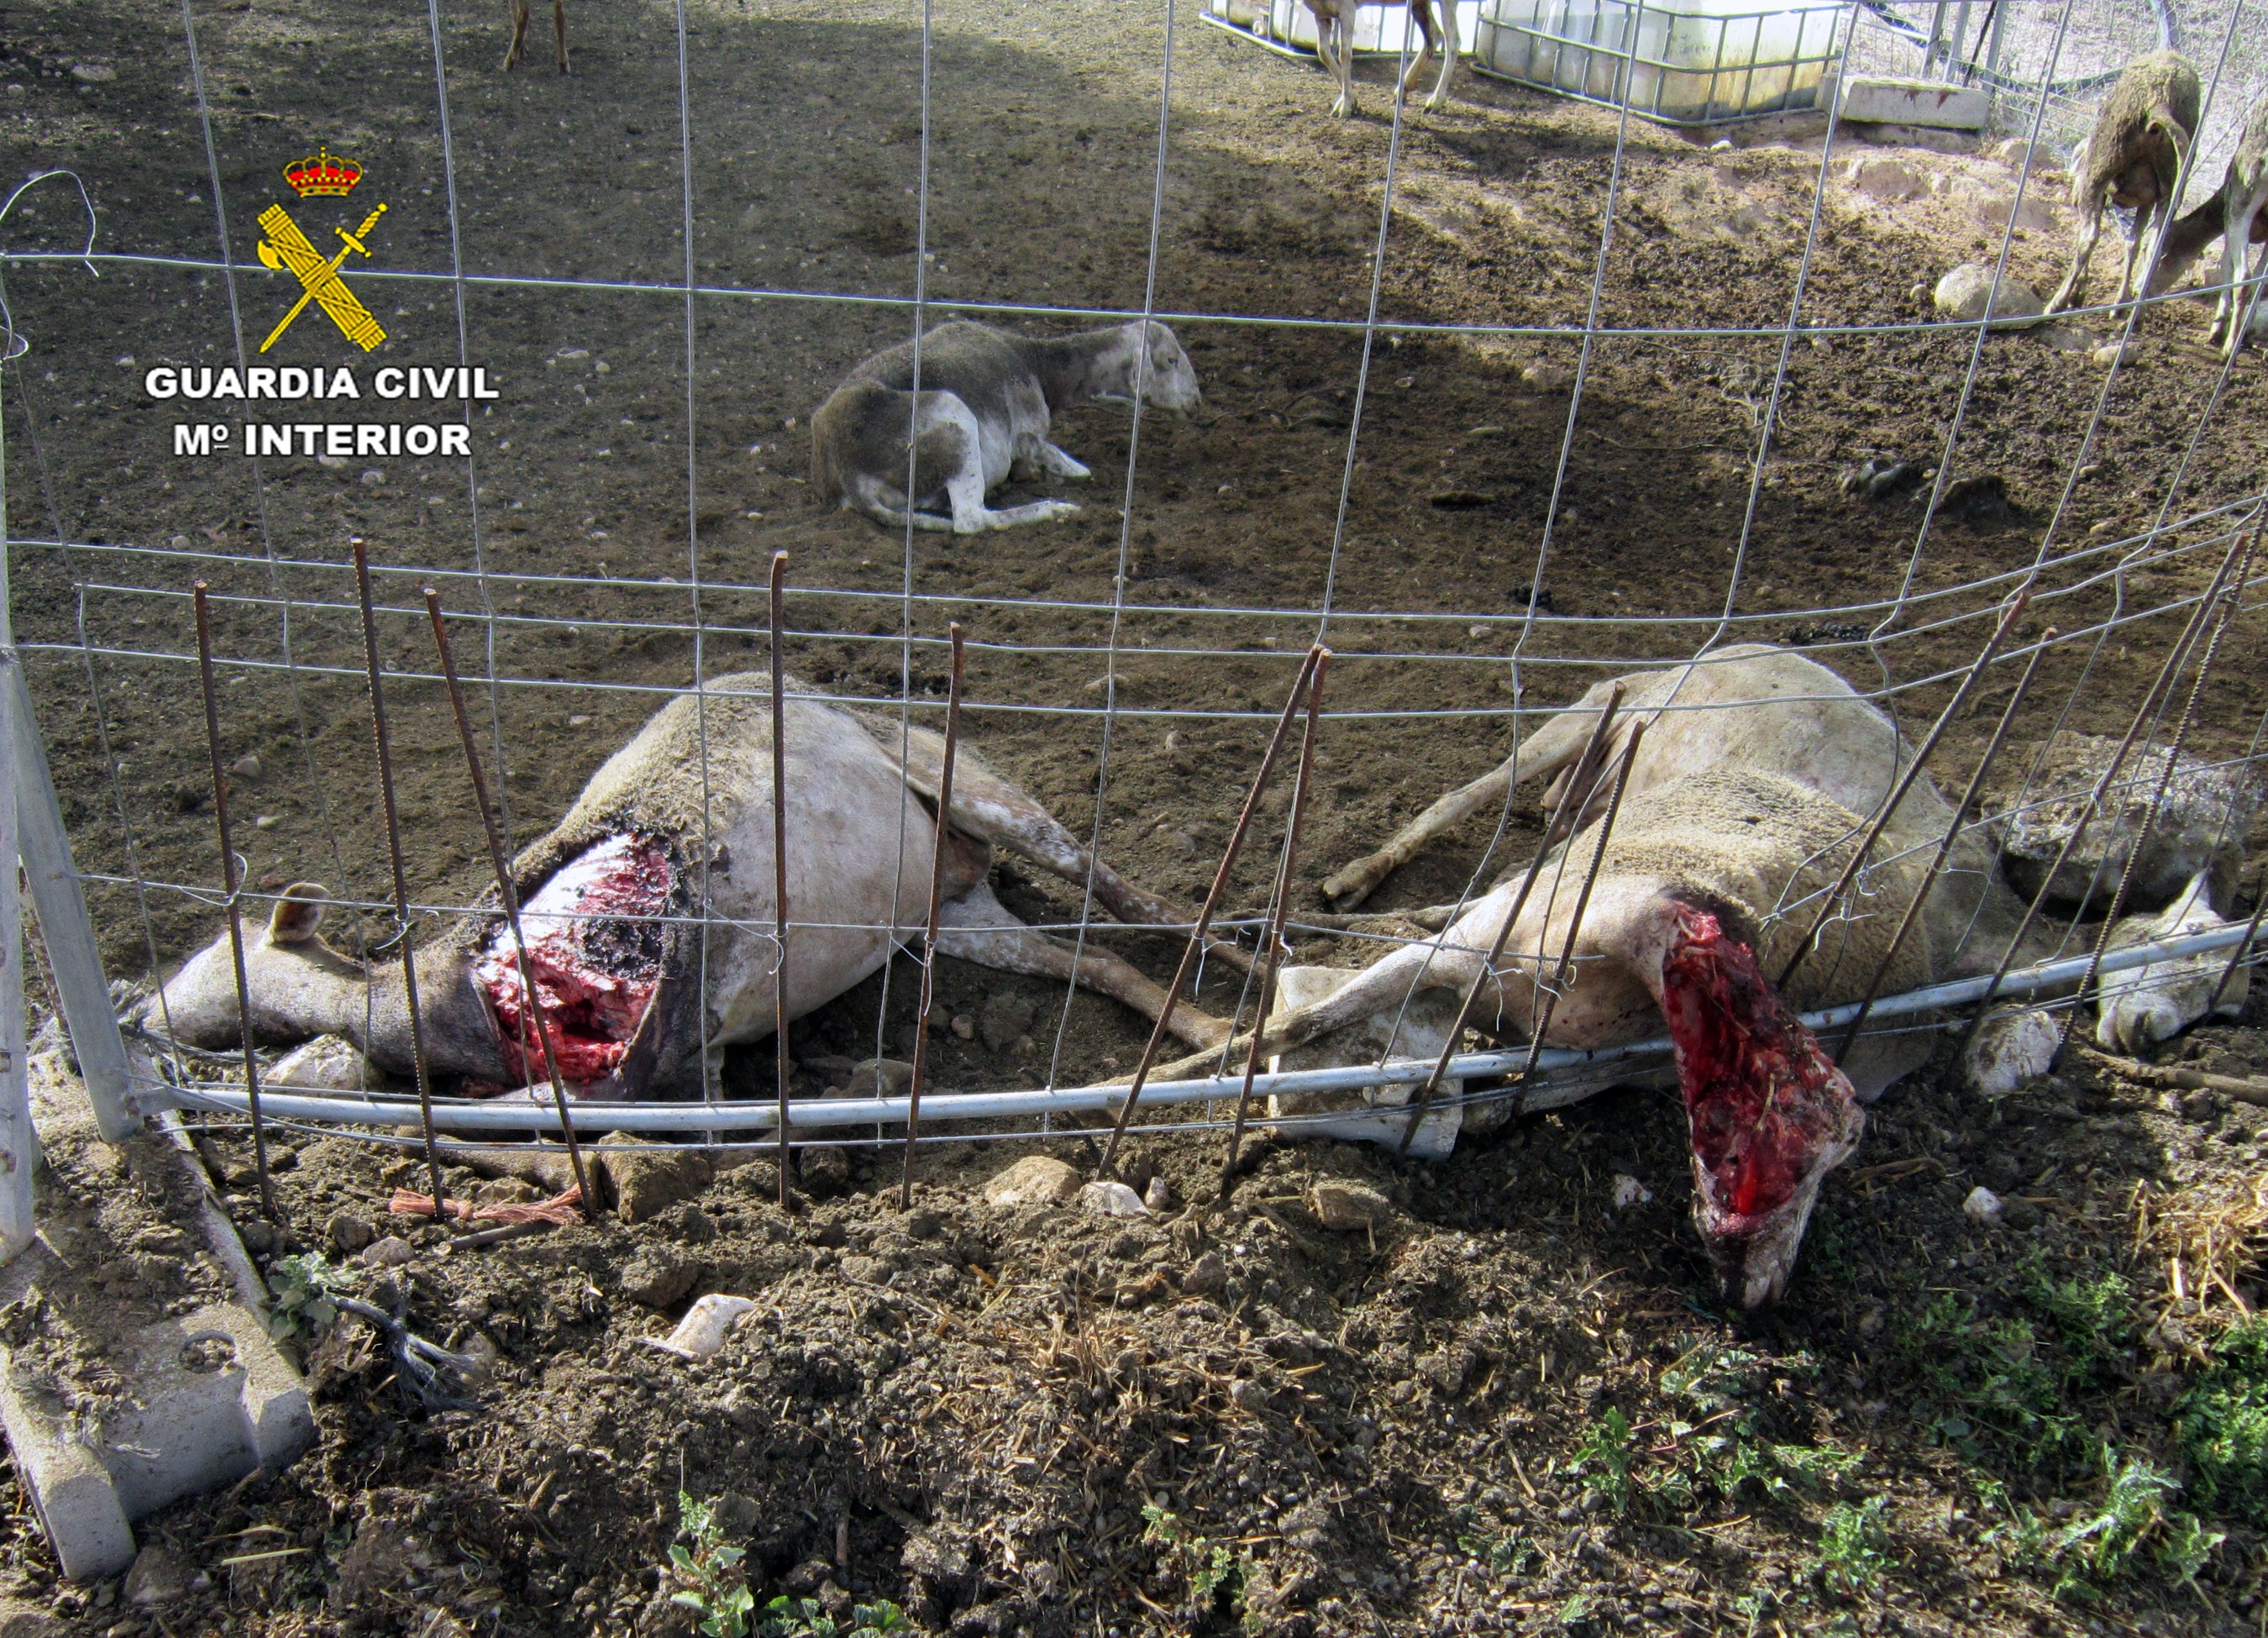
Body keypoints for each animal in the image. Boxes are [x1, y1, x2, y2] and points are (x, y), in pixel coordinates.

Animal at [144, 677, 1240, 1103]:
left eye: (206, 957)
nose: (136, 1008)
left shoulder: (665, 1062)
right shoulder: (690, 1058)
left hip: (969, 778)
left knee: (1122, 888)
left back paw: (1252, 963)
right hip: (947, 915)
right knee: (1091, 960)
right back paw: (1215, 1031)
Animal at [810, 320, 1199, 534]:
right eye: (1171, 360)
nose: (1196, 402)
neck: (1038, 366)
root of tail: (847, 471)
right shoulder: (1026, 433)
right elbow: (1049, 453)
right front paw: (1072, 474)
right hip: (953, 420)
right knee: (969, 519)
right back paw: (1053, 509)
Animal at [1302, 0, 1458, 120]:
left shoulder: (1347, 9)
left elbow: (1344, 54)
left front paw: (1344, 107)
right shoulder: (1321, 13)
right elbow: (1323, 53)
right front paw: (1353, 101)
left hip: (1446, 3)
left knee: (1453, 42)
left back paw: (1434, 102)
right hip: (1420, 5)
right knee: (1434, 36)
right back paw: (1402, 91)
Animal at [2043, 51, 2200, 318]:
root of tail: (2161, 98)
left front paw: (2078, 293)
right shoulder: (2147, 200)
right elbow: (2133, 244)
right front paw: (2118, 301)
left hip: (2102, 167)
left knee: (2088, 237)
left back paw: (2057, 303)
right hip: (2170, 187)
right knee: (2153, 244)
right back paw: (2133, 311)